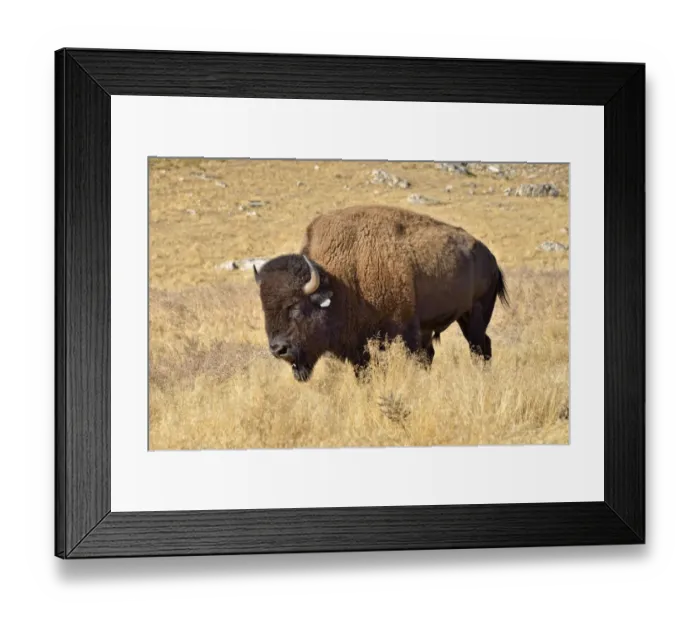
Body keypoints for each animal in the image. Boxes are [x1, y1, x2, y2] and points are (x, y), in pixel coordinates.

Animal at [253, 205, 509, 382]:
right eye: (265, 309)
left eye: (295, 307)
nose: (278, 349)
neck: (340, 281)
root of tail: (490, 257)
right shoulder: (359, 347)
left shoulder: (404, 333)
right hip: (464, 317)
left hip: (476, 314)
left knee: (479, 347)